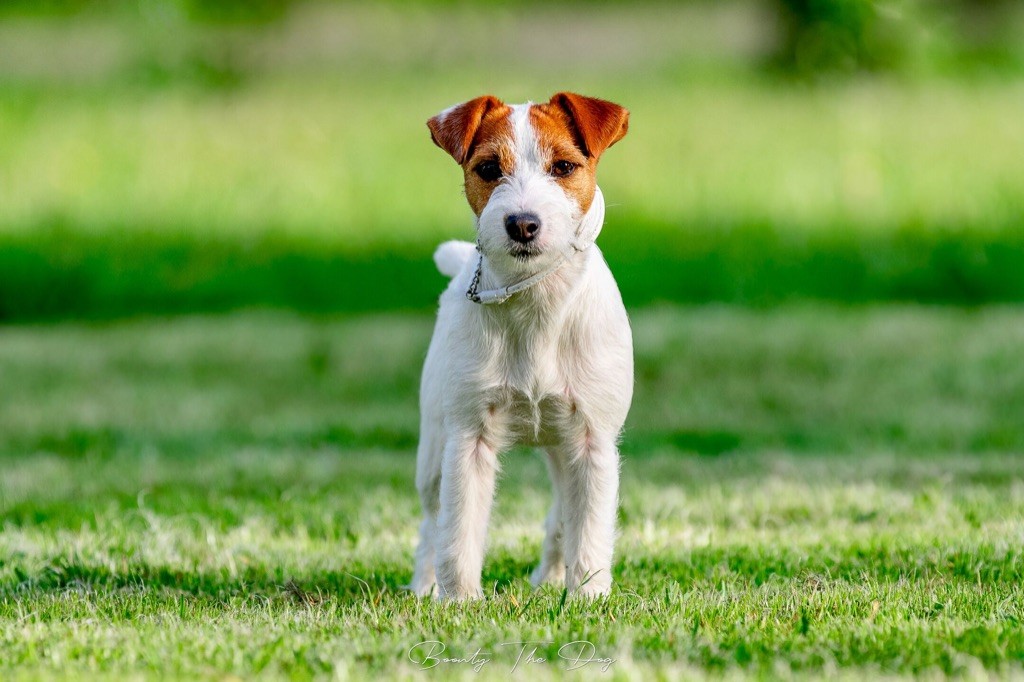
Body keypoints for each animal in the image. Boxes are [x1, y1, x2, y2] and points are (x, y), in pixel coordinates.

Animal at [407, 93, 630, 598]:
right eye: (489, 168)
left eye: (563, 166)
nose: (523, 224)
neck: (536, 303)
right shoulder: (468, 440)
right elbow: (458, 535)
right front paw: (460, 602)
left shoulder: (591, 443)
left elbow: (588, 532)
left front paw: (588, 598)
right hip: (434, 448)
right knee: (432, 523)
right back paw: (424, 588)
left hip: (562, 451)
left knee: (561, 518)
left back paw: (551, 579)